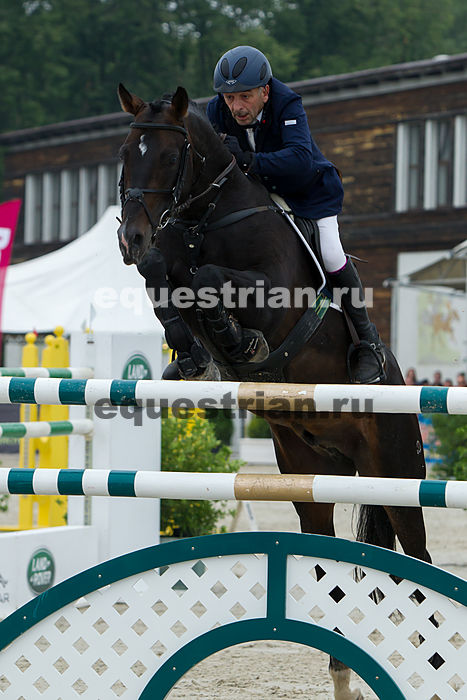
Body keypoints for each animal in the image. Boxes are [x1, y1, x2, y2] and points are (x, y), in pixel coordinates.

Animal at [116, 84, 429, 700]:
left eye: (168, 156)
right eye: (124, 153)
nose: (130, 238)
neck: (209, 217)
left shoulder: (269, 293)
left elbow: (209, 279)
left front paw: (238, 340)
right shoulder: (169, 260)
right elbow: (165, 274)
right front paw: (192, 355)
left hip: (399, 472)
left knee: (420, 559)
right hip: (309, 473)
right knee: (327, 558)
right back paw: (343, 678)